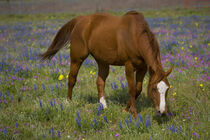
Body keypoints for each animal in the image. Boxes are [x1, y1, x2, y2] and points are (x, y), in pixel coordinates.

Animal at [40, 10, 172, 116]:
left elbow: (138, 89)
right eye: (154, 89)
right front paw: (133, 112)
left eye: (167, 89)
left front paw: (126, 109)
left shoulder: (143, 68)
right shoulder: (129, 66)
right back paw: (68, 102)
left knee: (100, 82)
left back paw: (103, 106)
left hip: (102, 61)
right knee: (72, 79)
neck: (135, 36)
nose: (162, 111)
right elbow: (131, 89)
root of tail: (81, 20)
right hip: (77, 58)